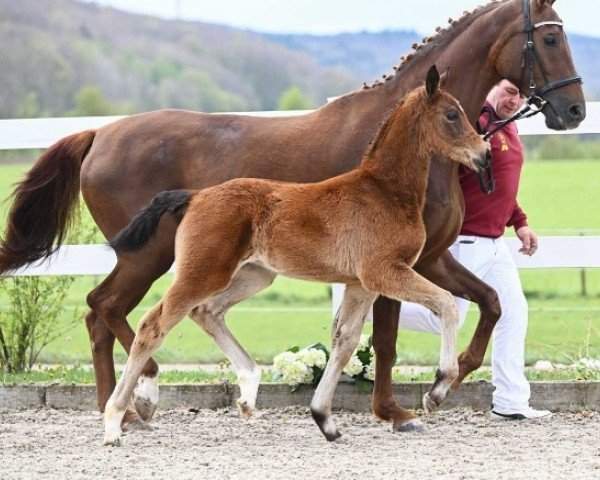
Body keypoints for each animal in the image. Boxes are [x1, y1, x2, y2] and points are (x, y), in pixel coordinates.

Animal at [103, 64, 488, 446]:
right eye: (452, 114)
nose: (484, 154)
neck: (384, 191)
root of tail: (195, 196)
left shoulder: (361, 284)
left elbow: (344, 341)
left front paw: (324, 419)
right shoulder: (384, 272)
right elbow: (446, 305)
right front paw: (437, 390)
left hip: (255, 275)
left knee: (206, 311)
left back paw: (248, 391)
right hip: (203, 272)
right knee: (153, 325)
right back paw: (115, 422)